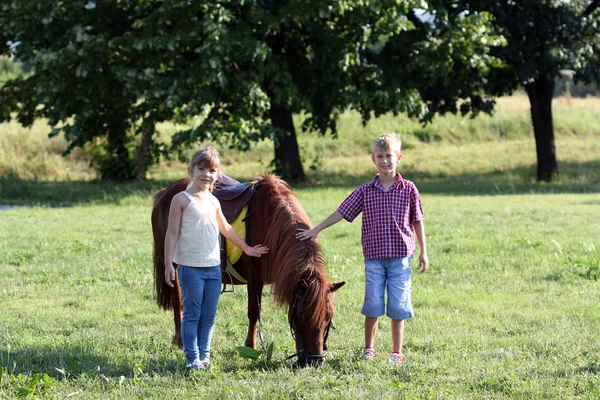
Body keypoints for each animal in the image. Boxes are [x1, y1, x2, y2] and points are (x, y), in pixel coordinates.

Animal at [150, 173, 344, 366]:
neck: (271, 224)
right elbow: (254, 312)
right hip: (173, 268)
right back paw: (180, 340)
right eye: (301, 317)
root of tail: (165, 192)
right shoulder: (254, 277)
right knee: (178, 301)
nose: (315, 361)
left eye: (328, 318)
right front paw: (250, 347)